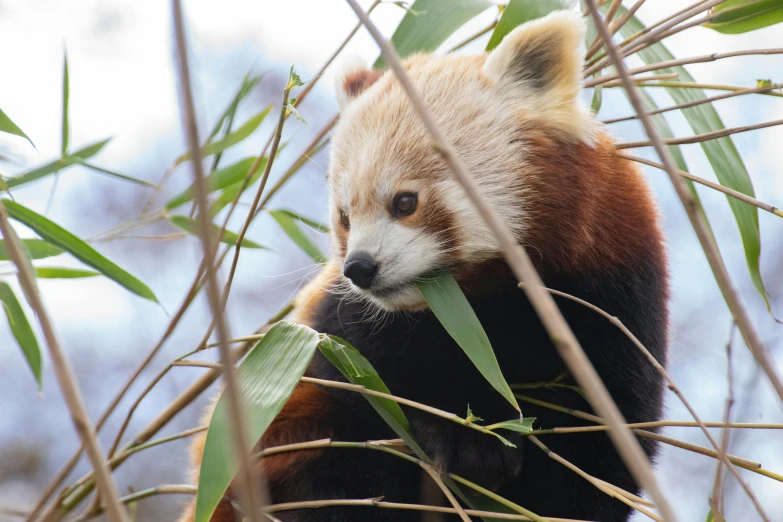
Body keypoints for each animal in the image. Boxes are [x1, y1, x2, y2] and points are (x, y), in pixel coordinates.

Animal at [178, 9, 668, 520]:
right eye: (345, 218)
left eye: (405, 202)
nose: (360, 268)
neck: (481, 305)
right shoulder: (335, 328)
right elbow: (357, 380)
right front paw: (463, 432)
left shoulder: (615, 289)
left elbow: (605, 447)